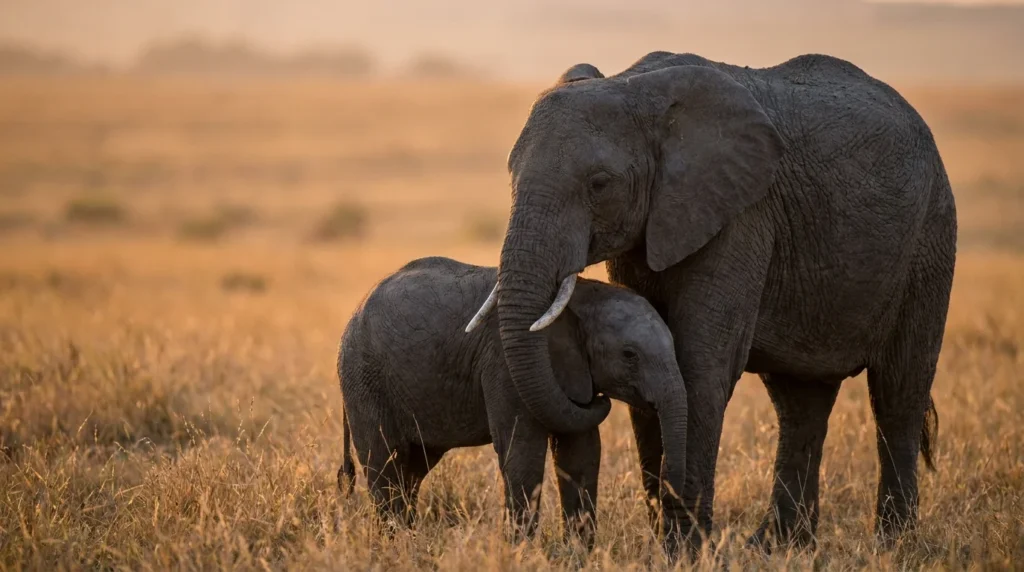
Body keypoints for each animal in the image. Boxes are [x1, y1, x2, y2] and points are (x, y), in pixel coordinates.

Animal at [336, 256, 686, 549]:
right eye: (630, 356)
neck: (583, 297)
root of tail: (352, 316)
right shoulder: (503, 364)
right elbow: (523, 450)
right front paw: (521, 553)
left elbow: (581, 453)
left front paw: (579, 555)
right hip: (364, 380)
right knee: (385, 462)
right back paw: (394, 545)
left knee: (412, 468)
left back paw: (408, 542)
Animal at [469, 51, 956, 553]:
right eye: (511, 174)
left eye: (599, 184)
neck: (634, 86)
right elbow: (655, 362)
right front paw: (669, 542)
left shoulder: (741, 214)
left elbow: (702, 364)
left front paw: (682, 548)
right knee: (801, 403)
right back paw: (778, 547)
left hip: (930, 240)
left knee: (898, 394)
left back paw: (892, 545)